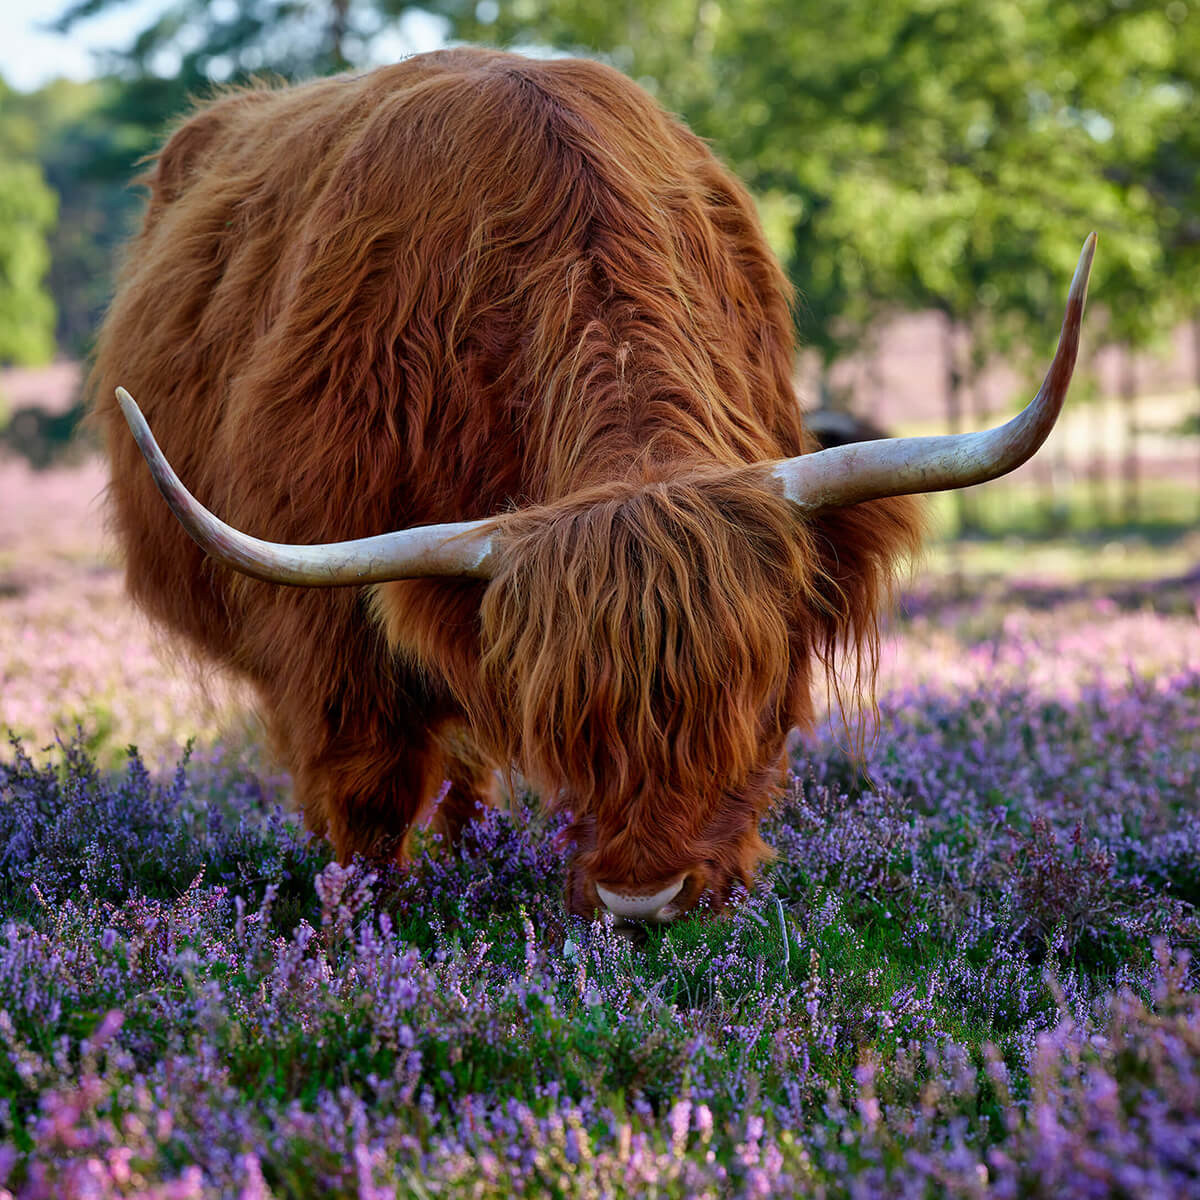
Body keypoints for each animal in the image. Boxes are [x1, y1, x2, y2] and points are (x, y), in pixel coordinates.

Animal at [96, 49, 1099, 916]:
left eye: (755, 699)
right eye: (564, 716)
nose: (643, 900)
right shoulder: (331, 623)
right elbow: (368, 790)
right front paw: (362, 930)